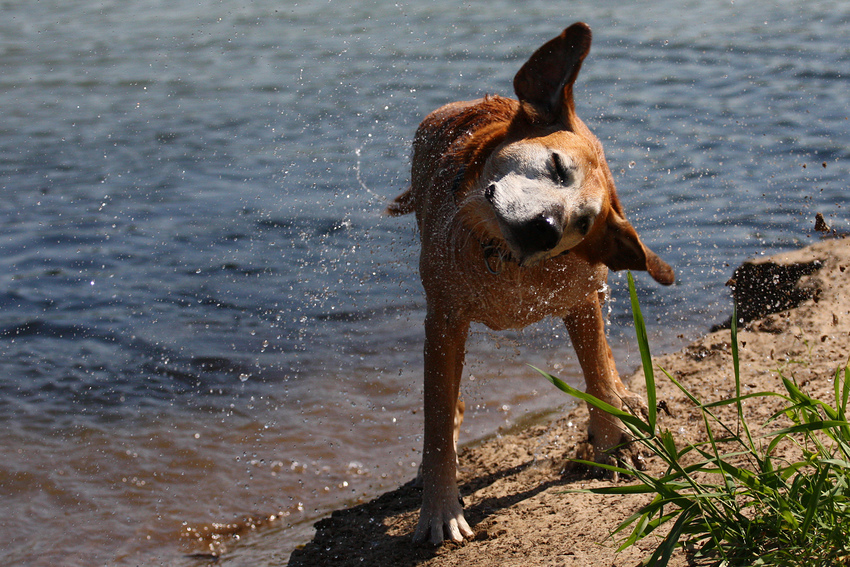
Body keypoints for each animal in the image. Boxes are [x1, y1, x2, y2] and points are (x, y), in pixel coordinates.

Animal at [388, 22, 672, 544]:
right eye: (557, 166)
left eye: (584, 222)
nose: (547, 227)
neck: (505, 259)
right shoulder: (444, 319)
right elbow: (436, 424)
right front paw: (439, 508)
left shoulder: (579, 299)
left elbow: (597, 374)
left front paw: (612, 446)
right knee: (451, 406)